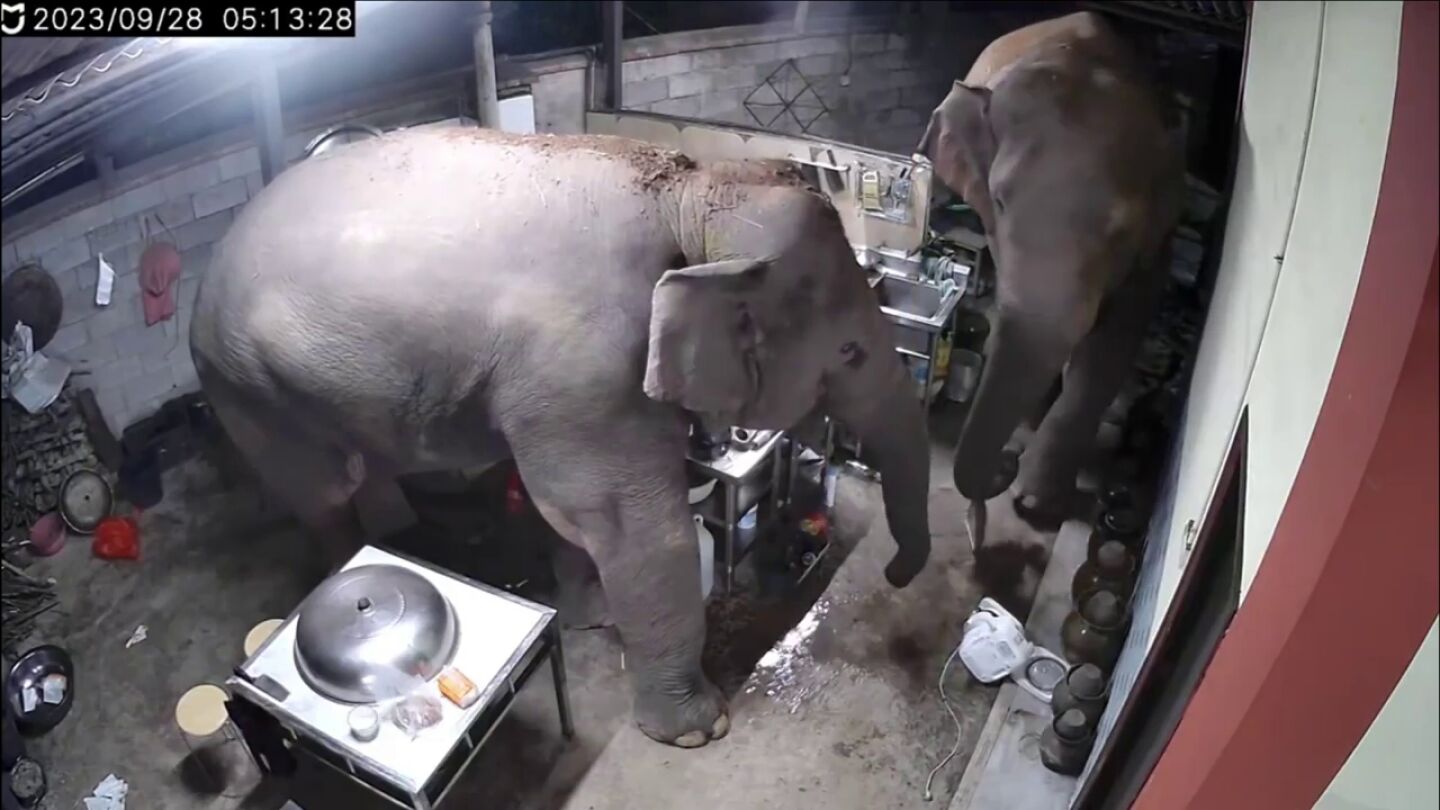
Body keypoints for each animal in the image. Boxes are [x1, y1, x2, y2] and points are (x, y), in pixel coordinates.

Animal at [188, 128, 933, 748]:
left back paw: (406, 534)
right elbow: (635, 525)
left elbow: (578, 516)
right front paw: (699, 728)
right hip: (249, 388)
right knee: (322, 492)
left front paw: (594, 617)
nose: (895, 574)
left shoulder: (568, 389)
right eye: (850, 352)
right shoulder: (591, 369)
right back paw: (361, 558)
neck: (690, 193)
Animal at [916, 11, 1185, 526]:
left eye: (1121, 230)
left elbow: (1111, 346)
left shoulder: (1158, 239)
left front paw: (1037, 504)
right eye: (1000, 200)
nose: (1007, 460)